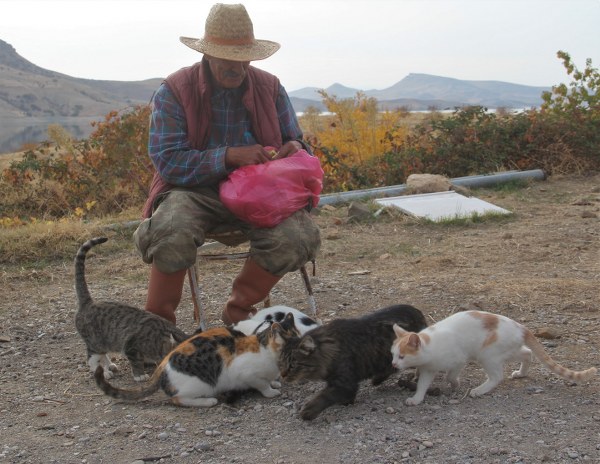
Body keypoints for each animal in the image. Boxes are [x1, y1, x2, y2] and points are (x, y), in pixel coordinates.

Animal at [74, 237, 190, 382]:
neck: (159, 338)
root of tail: (88, 303)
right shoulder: (131, 346)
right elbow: (136, 362)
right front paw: (140, 375)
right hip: (94, 341)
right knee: (91, 359)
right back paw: (103, 372)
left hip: (104, 340)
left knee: (103, 354)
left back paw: (110, 365)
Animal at [96, 312, 300, 406]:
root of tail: (162, 367)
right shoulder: (246, 373)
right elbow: (261, 384)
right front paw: (271, 391)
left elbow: (269, 380)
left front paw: (275, 383)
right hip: (202, 384)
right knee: (178, 399)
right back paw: (208, 401)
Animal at [278, 304, 428, 420]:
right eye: (281, 363)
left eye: (293, 365)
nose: (283, 375)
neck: (331, 351)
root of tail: (417, 311)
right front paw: (345, 402)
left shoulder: (345, 383)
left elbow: (325, 396)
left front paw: (309, 410)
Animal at [390, 310, 596, 404]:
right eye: (392, 355)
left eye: (402, 356)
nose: (393, 364)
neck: (431, 347)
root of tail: (522, 328)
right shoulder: (427, 370)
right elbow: (422, 386)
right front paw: (416, 399)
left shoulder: (459, 360)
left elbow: (450, 375)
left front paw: (455, 384)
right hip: (508, 351)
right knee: (527, 353)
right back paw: (521, 373)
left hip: (487, 355)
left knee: (497, 377)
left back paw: (479, 390)